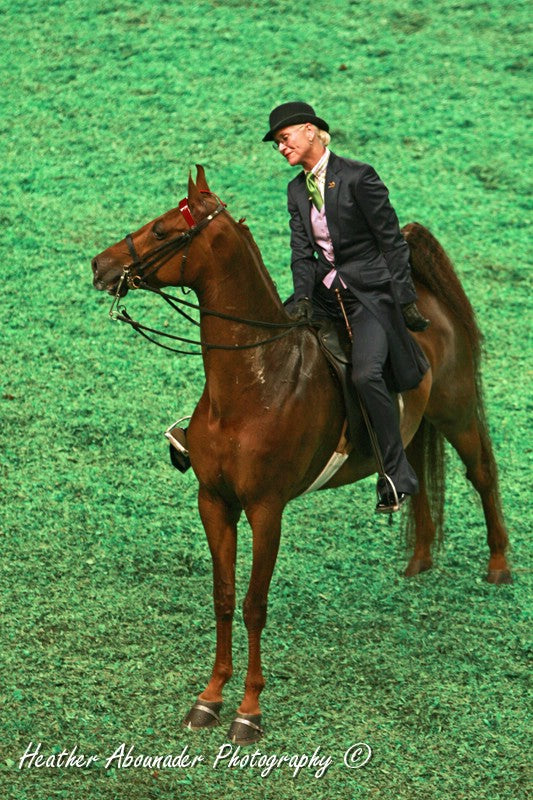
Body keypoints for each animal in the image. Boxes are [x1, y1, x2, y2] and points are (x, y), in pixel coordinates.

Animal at [91, 166, 512, 748]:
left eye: (161, 229)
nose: (100, 265)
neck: (254, 378)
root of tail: (421, 294)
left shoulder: (267, 510)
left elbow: (253, 605)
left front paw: (248, 712)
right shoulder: (213, 502)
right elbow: (223, 597)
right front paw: (209, 698)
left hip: (456, 412)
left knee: (483, 474)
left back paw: (498, 567)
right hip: (414, 429)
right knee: (416, 479)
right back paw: (419, 559)